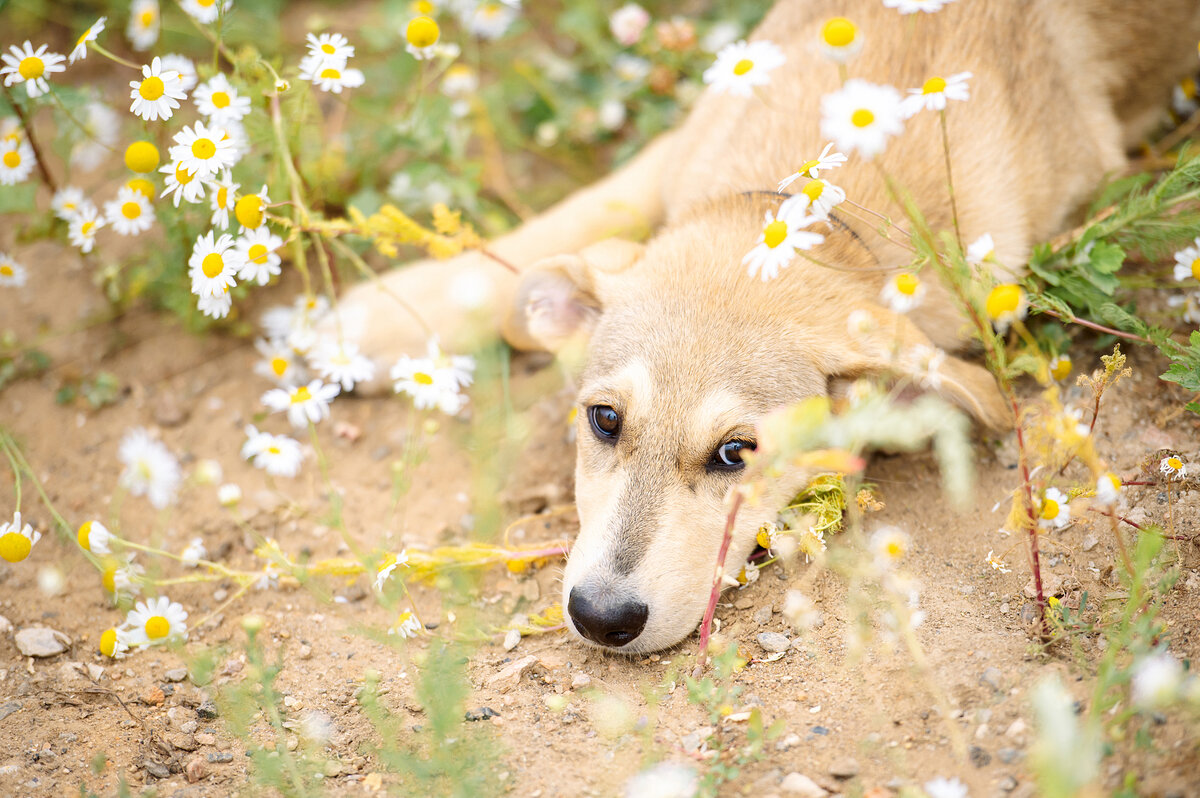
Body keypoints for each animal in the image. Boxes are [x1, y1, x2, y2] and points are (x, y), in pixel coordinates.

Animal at [328, 0, 1200, 652]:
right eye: (604, 420)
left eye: (735, 454)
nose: (601, 619)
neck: (819, 207)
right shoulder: (683, 144)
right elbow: (571, 220)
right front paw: (374, 318)